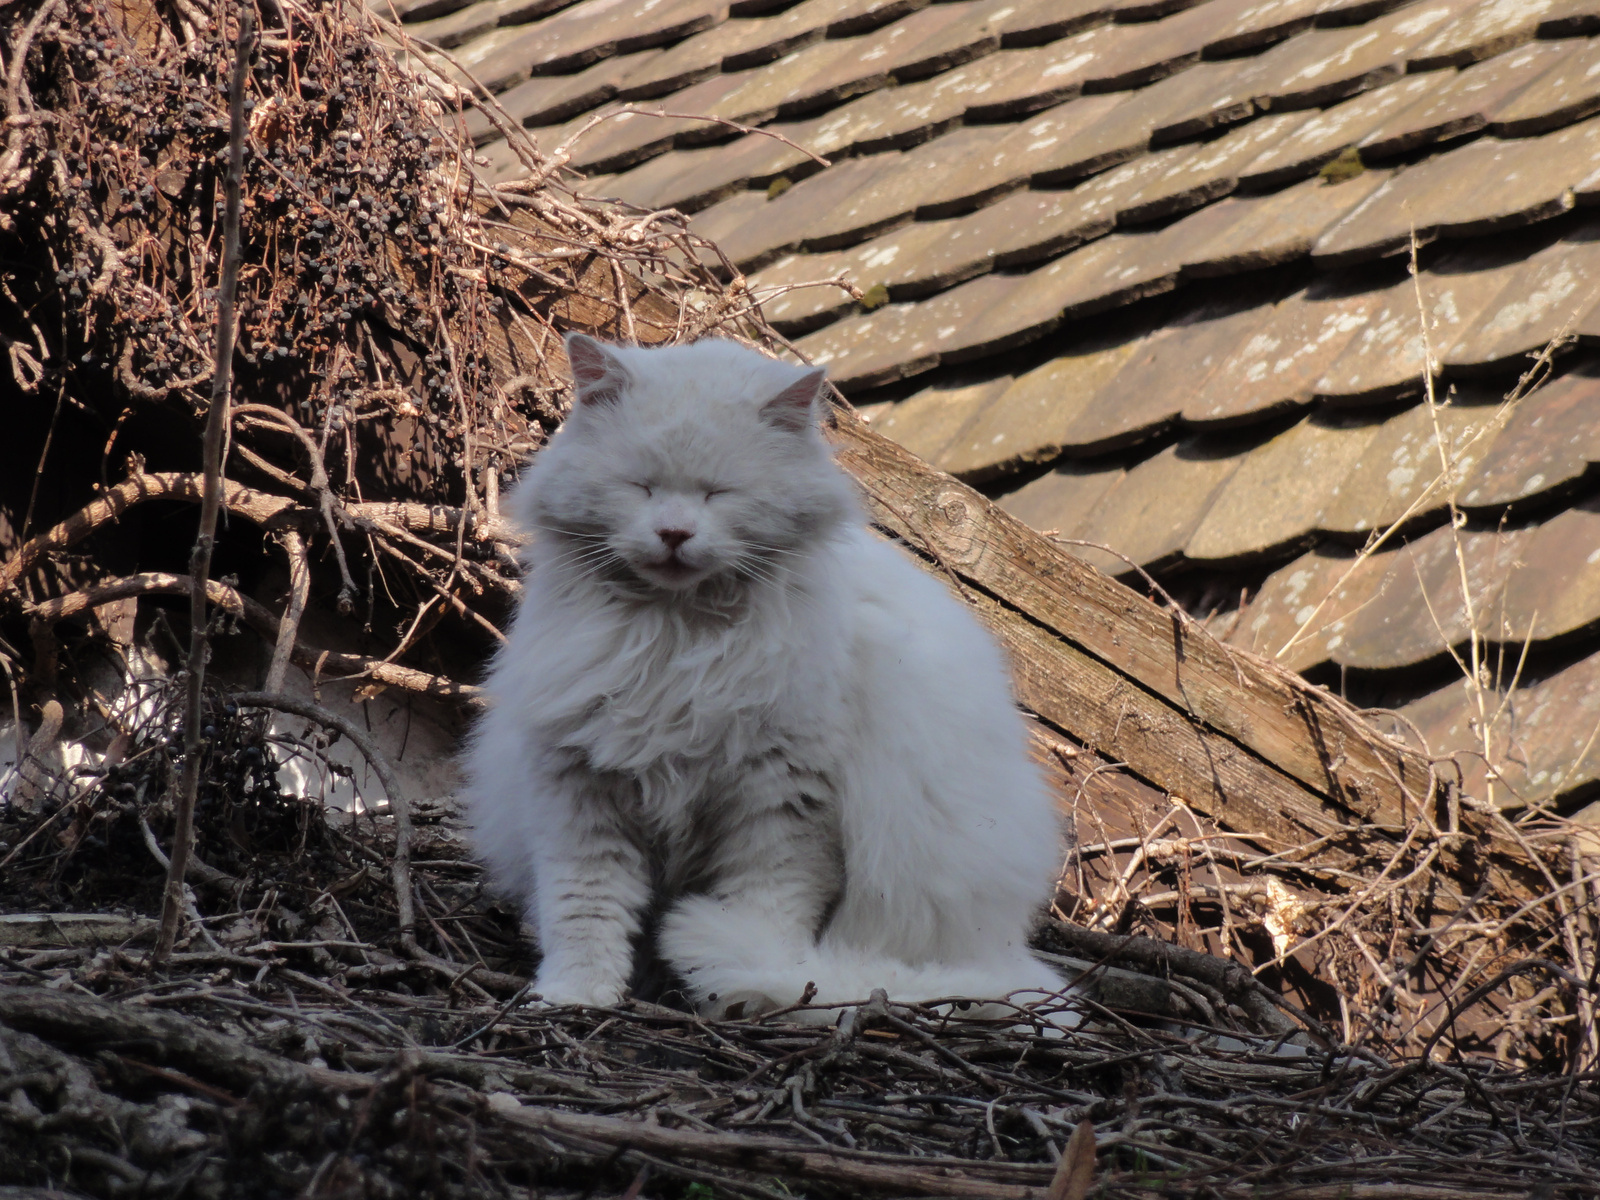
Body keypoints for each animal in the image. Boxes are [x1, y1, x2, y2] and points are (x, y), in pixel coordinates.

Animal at [464, 334, 1062, 1017]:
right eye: (642, 487)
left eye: (718, 493)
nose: (674, 533)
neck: (676, 642)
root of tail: (1004, 951)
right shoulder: (577, 792)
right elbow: (585, 913)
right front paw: (576, 997)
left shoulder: (783, 798)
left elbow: (767, 911)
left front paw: (749, 985)